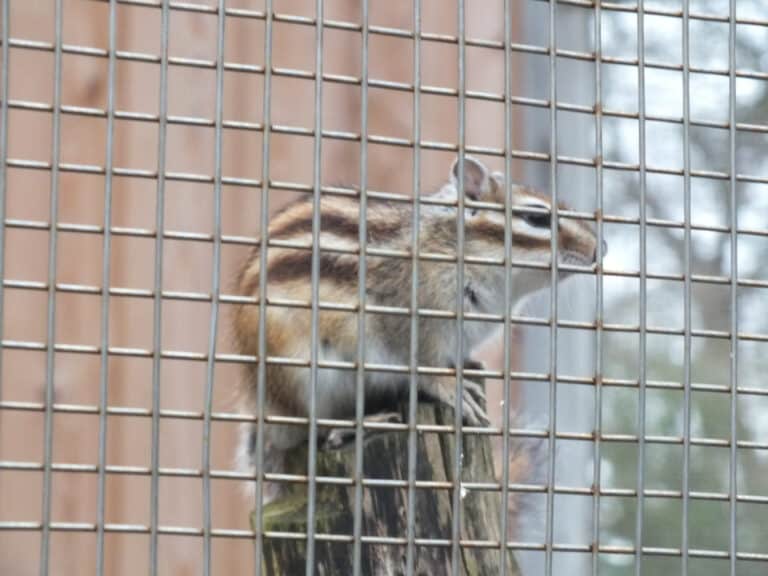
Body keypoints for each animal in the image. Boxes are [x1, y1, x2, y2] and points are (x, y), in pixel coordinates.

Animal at [232, 155, 601, 501]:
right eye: (537, 219)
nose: (601, 249)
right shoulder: (408, 321)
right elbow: (423, 365)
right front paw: (452, 387)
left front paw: (469, 367)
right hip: (301, 374)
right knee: (317, 428)